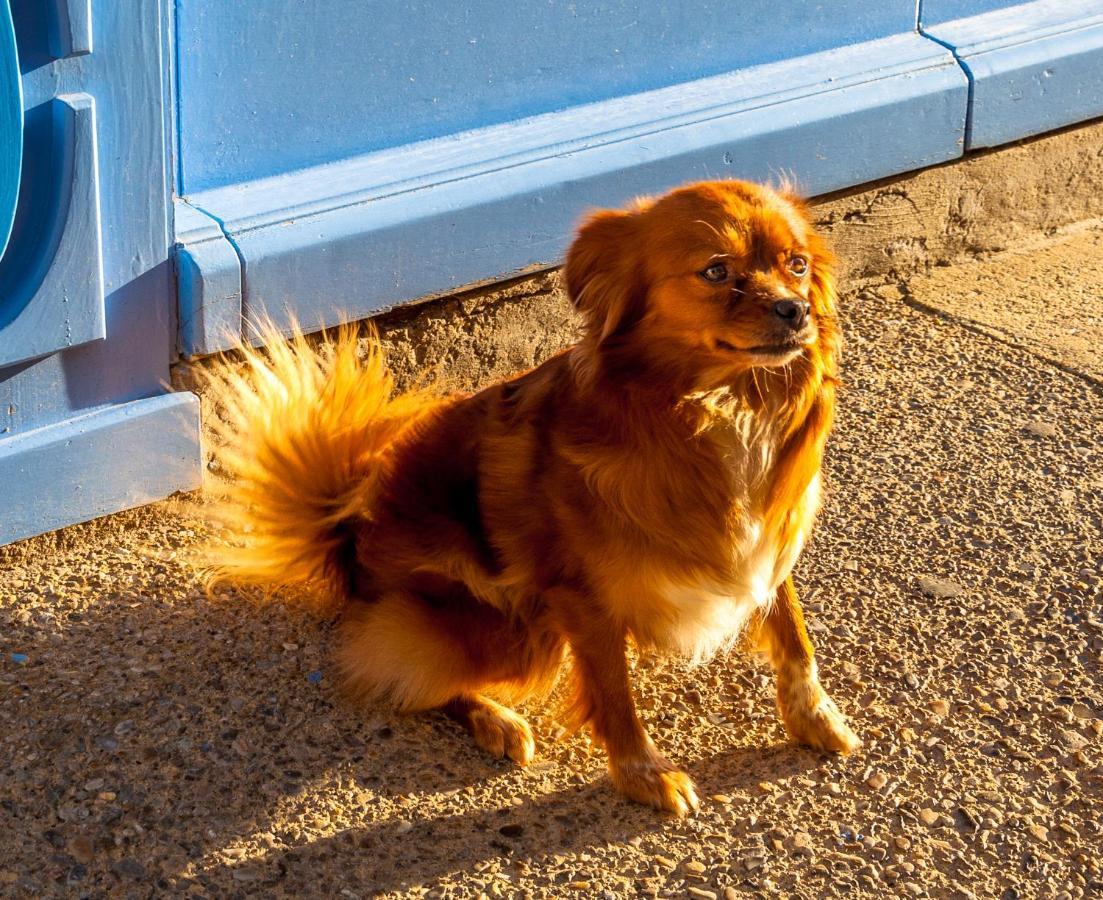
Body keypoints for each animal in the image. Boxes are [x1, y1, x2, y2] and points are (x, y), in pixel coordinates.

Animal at [207, 177, 860, 816]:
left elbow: (793, 635)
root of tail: (350, 546)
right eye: (717, 271)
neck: (722, 409)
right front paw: (643, 774)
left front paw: (815, 717)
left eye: (797, 264)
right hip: (515, 629)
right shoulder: (583, 599)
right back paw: (495, 719)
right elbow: (614, 692)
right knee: (406, 679)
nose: (796, 309)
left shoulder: (766, 541)